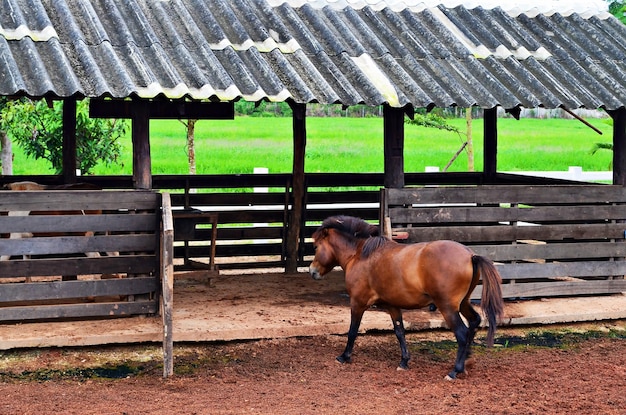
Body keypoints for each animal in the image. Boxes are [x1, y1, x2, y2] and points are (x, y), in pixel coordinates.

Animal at [308, 216, 502, 382]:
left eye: (316, 247)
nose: (312, 271)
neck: (359, 255)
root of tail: (470, 255)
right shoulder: (392, 306)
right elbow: (400, 332)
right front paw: (404, 362)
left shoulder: (357, 303)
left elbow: (352, 331)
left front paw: (344, 356)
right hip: (463, 303)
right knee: (474, 321)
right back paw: (467, 360)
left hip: (448, 308)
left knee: (462, 333)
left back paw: (455, 371)